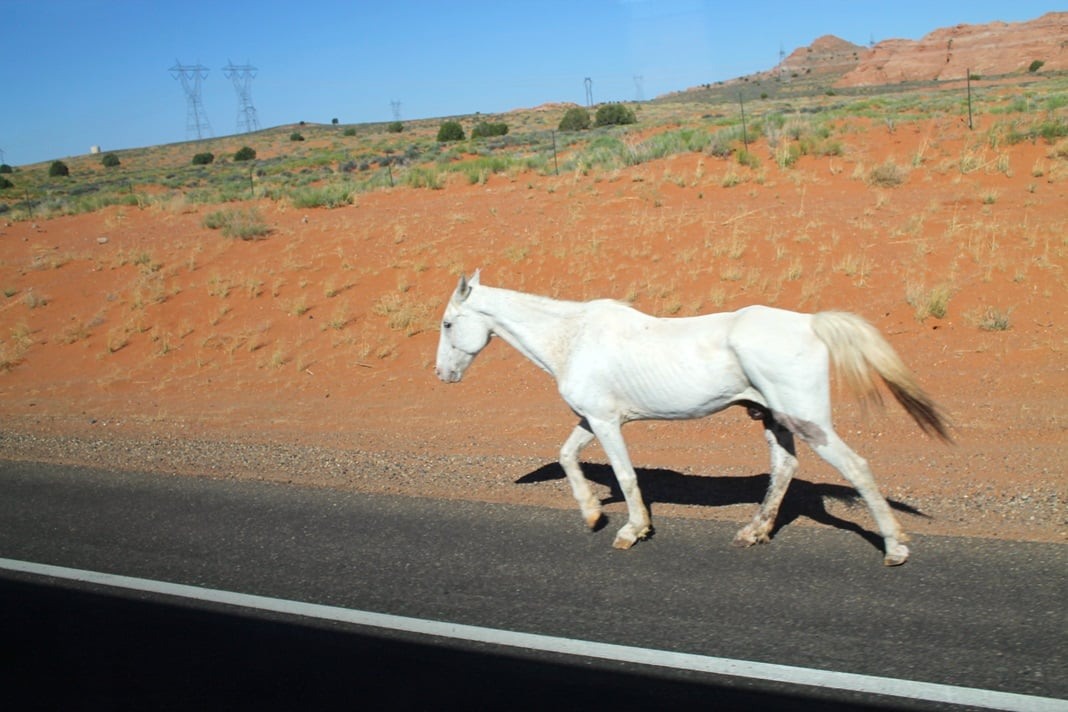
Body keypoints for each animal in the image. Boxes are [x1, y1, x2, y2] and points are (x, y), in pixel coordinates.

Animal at [433, 273, 952, 567]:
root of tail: (809, 322)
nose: (443, 374)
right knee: (784, 469)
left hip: (807, 420)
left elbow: (625, 475)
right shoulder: (590, 419)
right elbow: (565, 457)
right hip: (774, 418)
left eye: (447, 323)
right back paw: (754, 533)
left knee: (857, 467)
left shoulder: (606, 422)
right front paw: (592, 513)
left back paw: (895, 549)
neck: (573, 339)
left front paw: (631, 530)